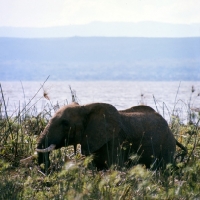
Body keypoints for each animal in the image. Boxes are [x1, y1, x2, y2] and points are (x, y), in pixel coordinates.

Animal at [35, 103, 186, 170]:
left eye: (65, 123)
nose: (47, 169)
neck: (85, 107)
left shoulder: (115, 140)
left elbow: (115, 167)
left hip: (167, 145)